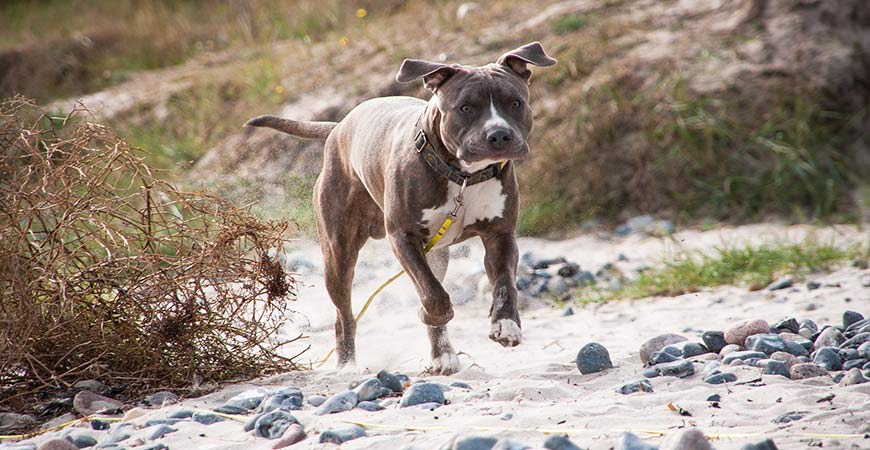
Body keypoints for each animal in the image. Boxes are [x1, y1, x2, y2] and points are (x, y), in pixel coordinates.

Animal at [249, 42, 556, 374]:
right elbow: (433, 294)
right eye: (465, 107)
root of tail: (340, 126)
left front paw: (506, 325)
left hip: (436, 253)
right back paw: (347, 365)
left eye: (515, 102)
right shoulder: (403, 237)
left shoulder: (500, 235)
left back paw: (443, 355)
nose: (499, 134)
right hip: (338, 253)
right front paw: (431, 313)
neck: (463, 176)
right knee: (344, 316)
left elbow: (504, 285)